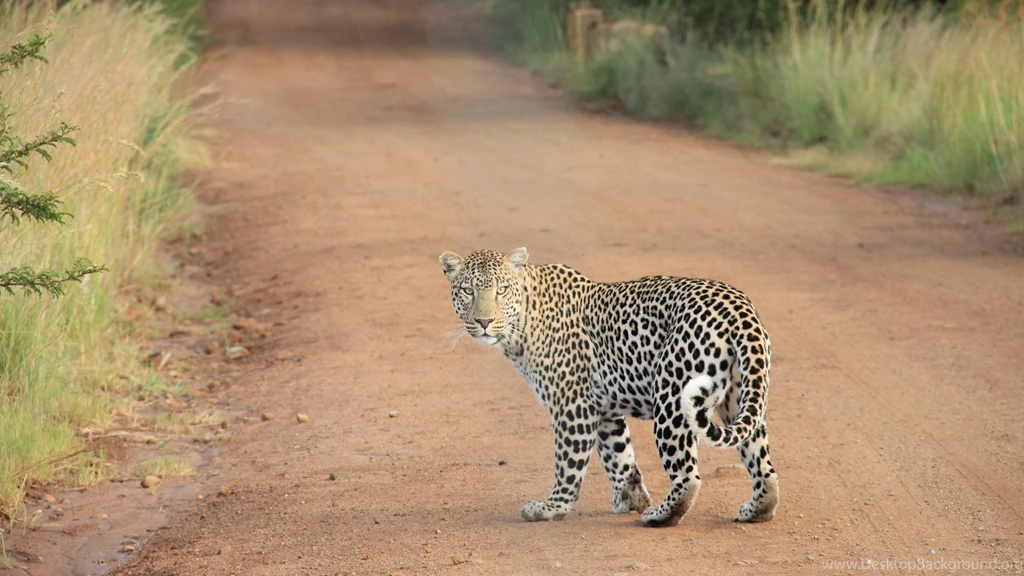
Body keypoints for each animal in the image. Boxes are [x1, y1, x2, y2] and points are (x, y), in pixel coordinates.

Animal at [439, 247, 779, 527]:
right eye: (468, 291)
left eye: (501, 290)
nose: (484, 322)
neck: (522, 322)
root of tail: (739, 308)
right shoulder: (603, 408)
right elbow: (620, 456)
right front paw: (631, 498)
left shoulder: (572, 405)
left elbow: (568, 462)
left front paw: (552, 507)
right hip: (740, 397)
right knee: (763, 464)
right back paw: (756, 510)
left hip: (672, 399)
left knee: (688, 476)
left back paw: (659, 515)